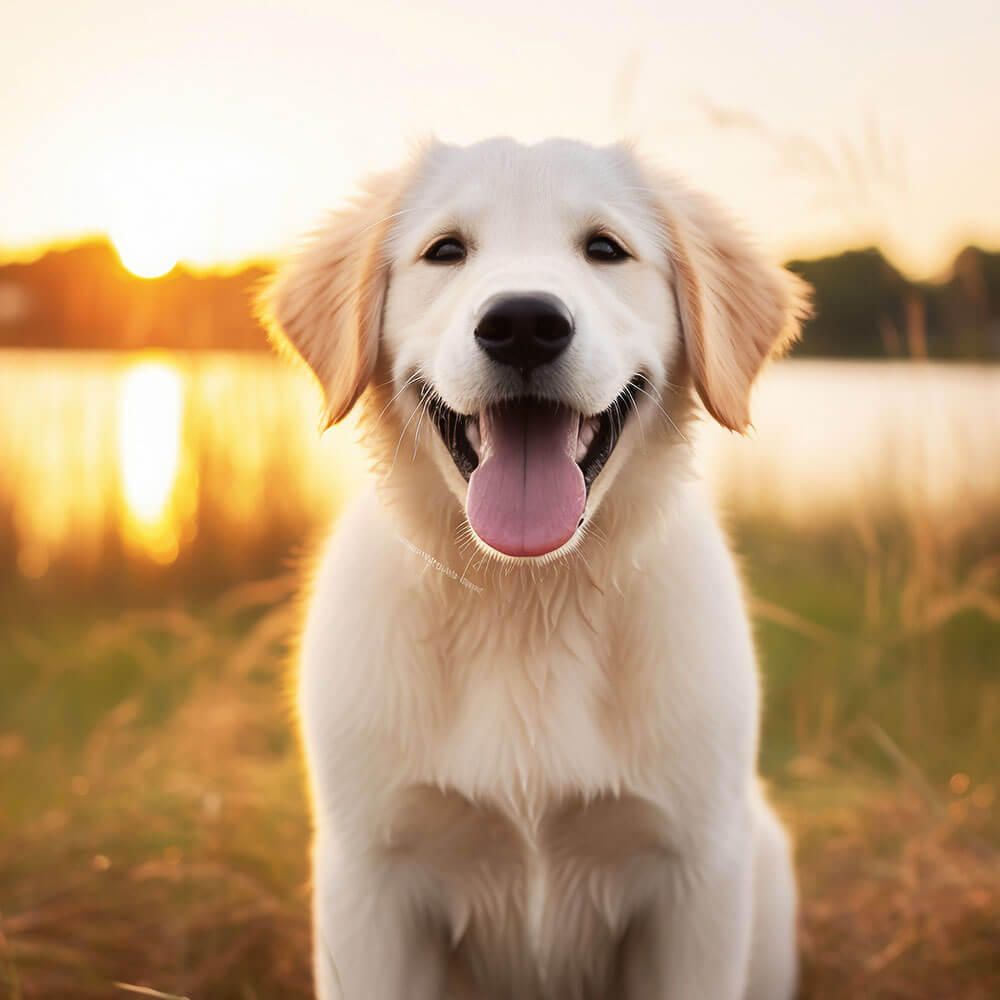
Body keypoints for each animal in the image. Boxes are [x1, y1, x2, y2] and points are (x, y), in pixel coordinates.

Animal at [262, 135, 808, 1000]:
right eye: (446, 251)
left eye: (605, 249)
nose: (523, 324)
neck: (527, 596)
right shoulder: (370, 883)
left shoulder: (695, 881)